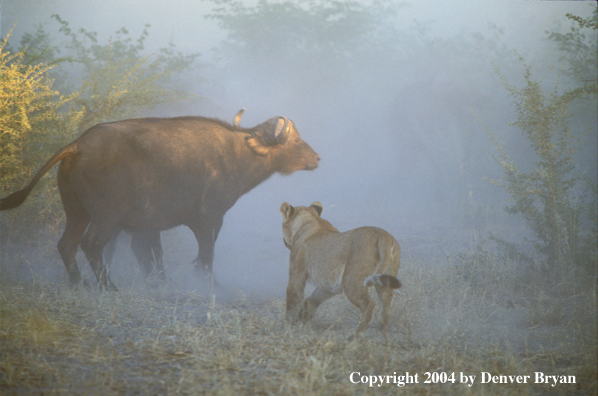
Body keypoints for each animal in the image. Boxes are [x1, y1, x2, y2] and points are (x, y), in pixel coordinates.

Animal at [2, 113, 322, 290]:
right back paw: (108, 287)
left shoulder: (150, 226)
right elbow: (206, 253)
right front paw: (210, 284)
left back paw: (79, 283)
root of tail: (78, 144)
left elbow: (159, 255)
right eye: (296, 141)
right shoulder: (209, 218)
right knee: (91, 245)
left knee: (66, 244)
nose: (317, 158)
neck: (236, 153)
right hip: (105, 217)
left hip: (77, 212)